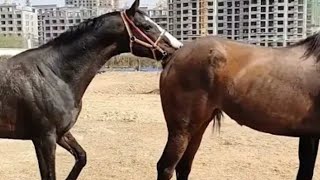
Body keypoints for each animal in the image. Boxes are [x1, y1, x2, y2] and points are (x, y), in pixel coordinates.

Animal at [0, 0, 181, 179]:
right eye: (146, 26)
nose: (178, 47)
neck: (53, 73)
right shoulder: (44, 138)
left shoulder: (61, 133)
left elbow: (82, 157)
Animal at [158, 34, 320, 180]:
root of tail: (174, 56)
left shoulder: (309, 135)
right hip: (181, 130)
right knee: (166, 168)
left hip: (199, 126)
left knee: (183, 167)